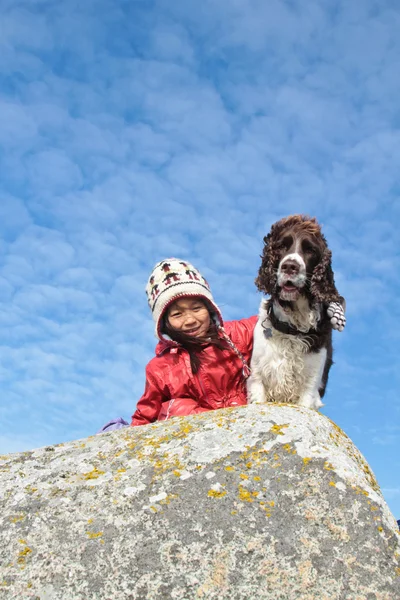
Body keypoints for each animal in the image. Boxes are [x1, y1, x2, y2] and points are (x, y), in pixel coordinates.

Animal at [245, 213, 346, 410]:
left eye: (310, 250)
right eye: (282, 246)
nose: (290, 266)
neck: (292, 328)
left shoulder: (311, 384)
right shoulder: (258, 376)